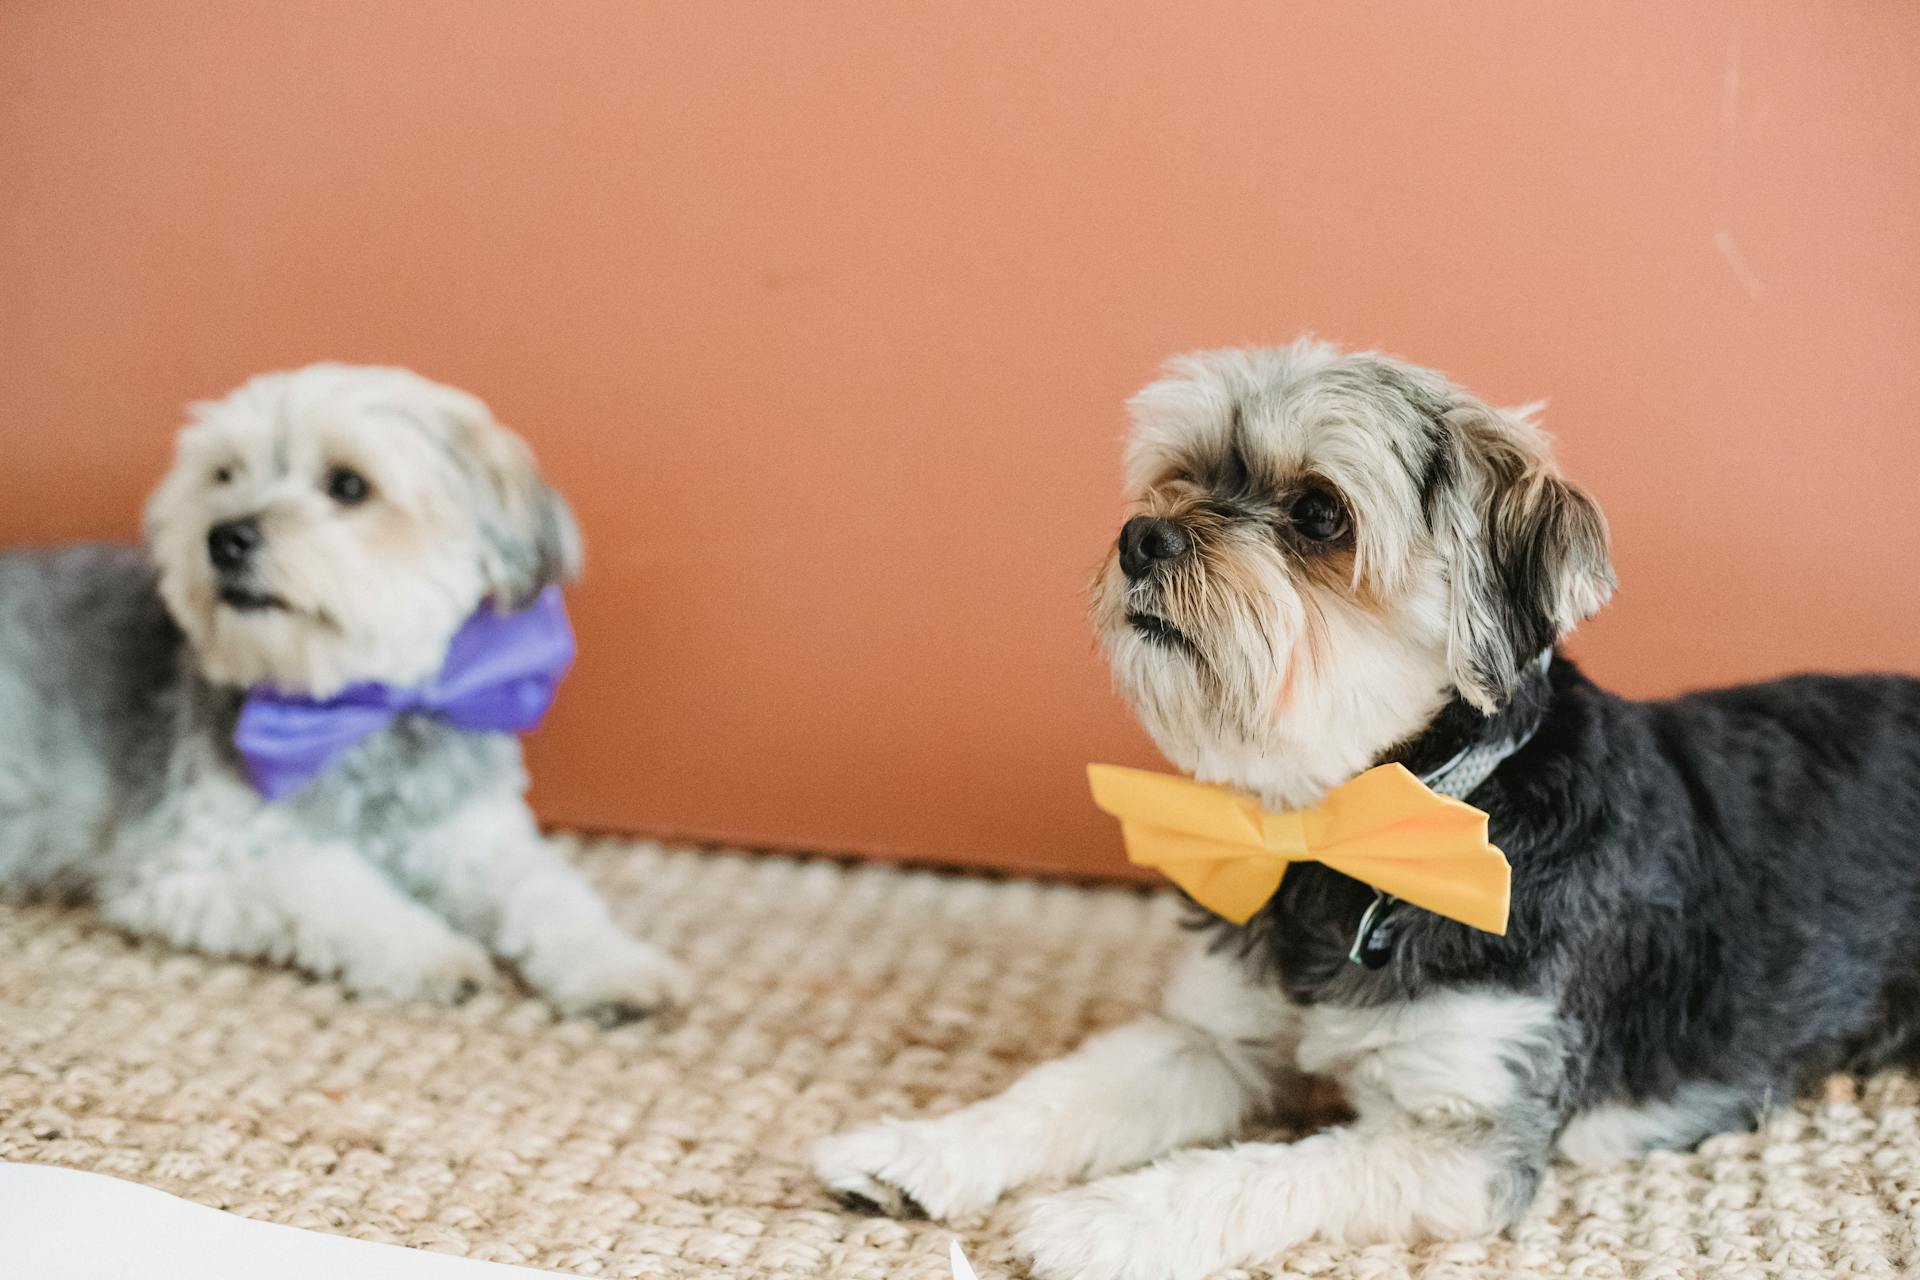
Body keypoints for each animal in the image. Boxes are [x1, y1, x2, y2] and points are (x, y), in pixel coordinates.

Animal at [0, 362, 691, 1020]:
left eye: (349, 485)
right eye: (223, 475)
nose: (223, 536)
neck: (357, 709)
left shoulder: (477, 837)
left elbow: (550, 894)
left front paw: (616, 966)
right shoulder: (189, 864)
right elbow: (334, 886)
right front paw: (432, 950)